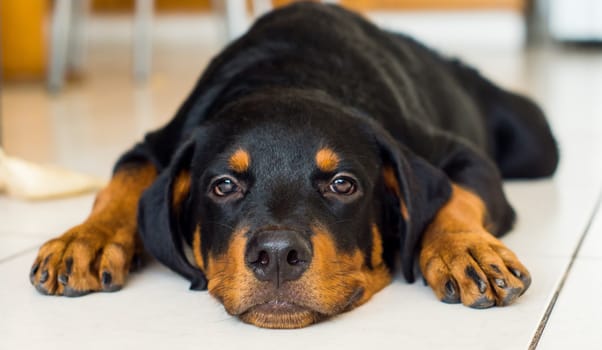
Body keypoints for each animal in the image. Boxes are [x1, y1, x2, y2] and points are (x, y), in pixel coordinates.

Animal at [28, 4, 556, 330]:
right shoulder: (158, 142)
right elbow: (122, 182)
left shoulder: (459, 154)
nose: (277, 256)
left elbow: (457, 196)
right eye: (223, 185)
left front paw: (465, 250)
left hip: (536, 144)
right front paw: (85, 241)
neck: (291, 75)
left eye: (343, 184)